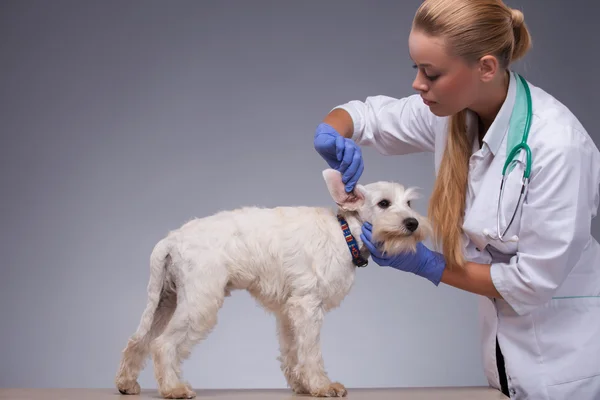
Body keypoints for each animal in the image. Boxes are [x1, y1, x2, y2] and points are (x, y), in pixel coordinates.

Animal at [113, 168, 432, 396]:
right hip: (199, 304)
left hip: (165, 301)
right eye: (383, 203)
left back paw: (127, 383)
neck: (345, 233)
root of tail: (172, 239)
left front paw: (303, 385)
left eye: (408, 203)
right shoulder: (308, 306)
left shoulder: (289, 312)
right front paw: (322, 385)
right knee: (162, 344)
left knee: (139, 340)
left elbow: (292, 351)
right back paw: (174, 388)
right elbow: (311, 351)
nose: (413, 223)